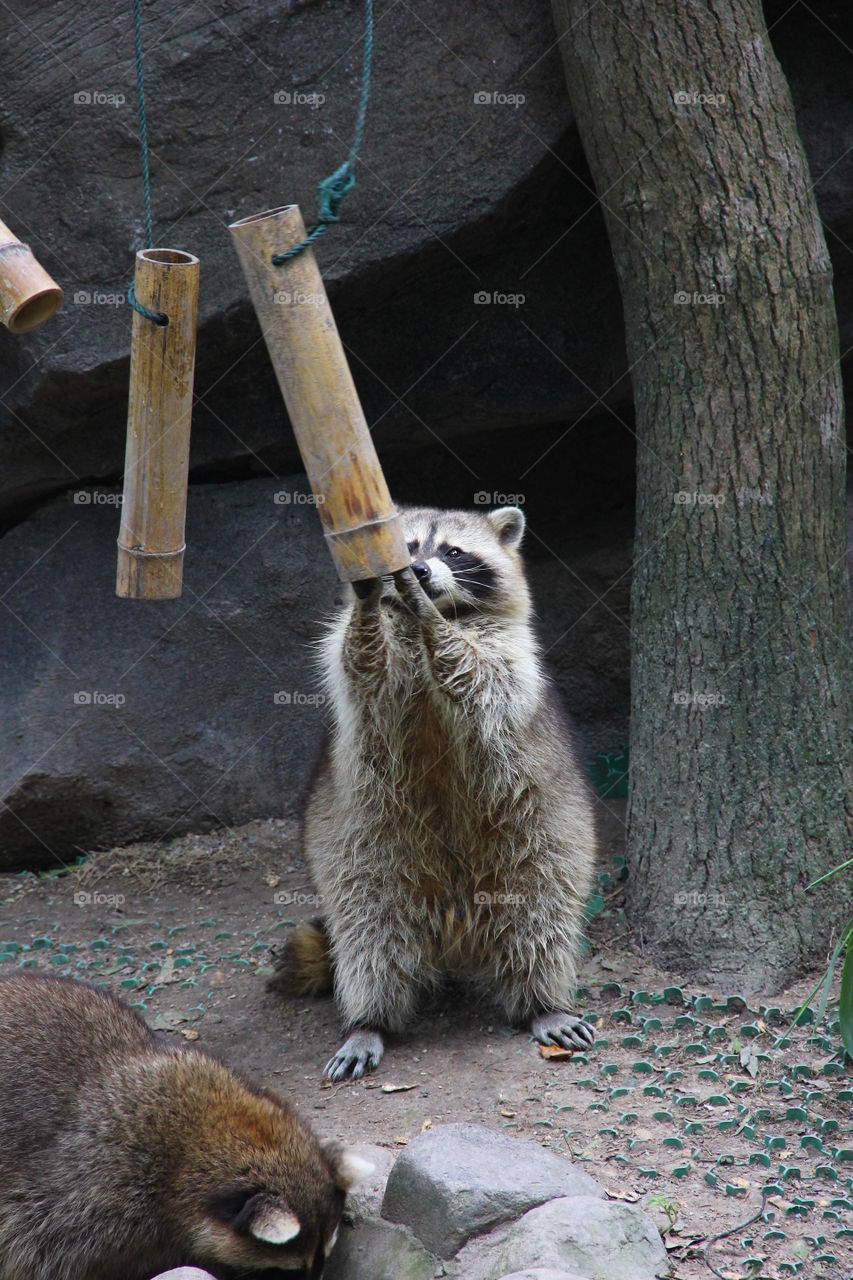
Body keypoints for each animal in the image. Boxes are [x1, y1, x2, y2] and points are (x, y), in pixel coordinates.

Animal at [274, 504, 596, 1075]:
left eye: (453, 552)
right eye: (407, 547)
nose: (419, 573)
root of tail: (454, 935)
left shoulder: (507, 653)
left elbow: (481, 673)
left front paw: (430, 619)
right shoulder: (360, 668)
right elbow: (362, 664)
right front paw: (370, 601)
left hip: (547, 832)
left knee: (541, 917)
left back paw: (541, 1001)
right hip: (360, 848)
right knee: (369, 936)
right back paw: (369, 1019)